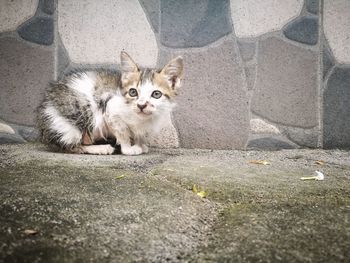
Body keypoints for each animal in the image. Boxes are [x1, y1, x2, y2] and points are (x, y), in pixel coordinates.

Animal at [37, 52, 185, 156]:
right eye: (133, 92)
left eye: (156, 94)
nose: (141, 105)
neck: (141, 119)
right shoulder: (110, 109)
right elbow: (123, 132)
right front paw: (128, 149)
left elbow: (138, 134)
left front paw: (140, 144)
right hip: (79, 115)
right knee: (69, 146)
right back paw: (100, 148)